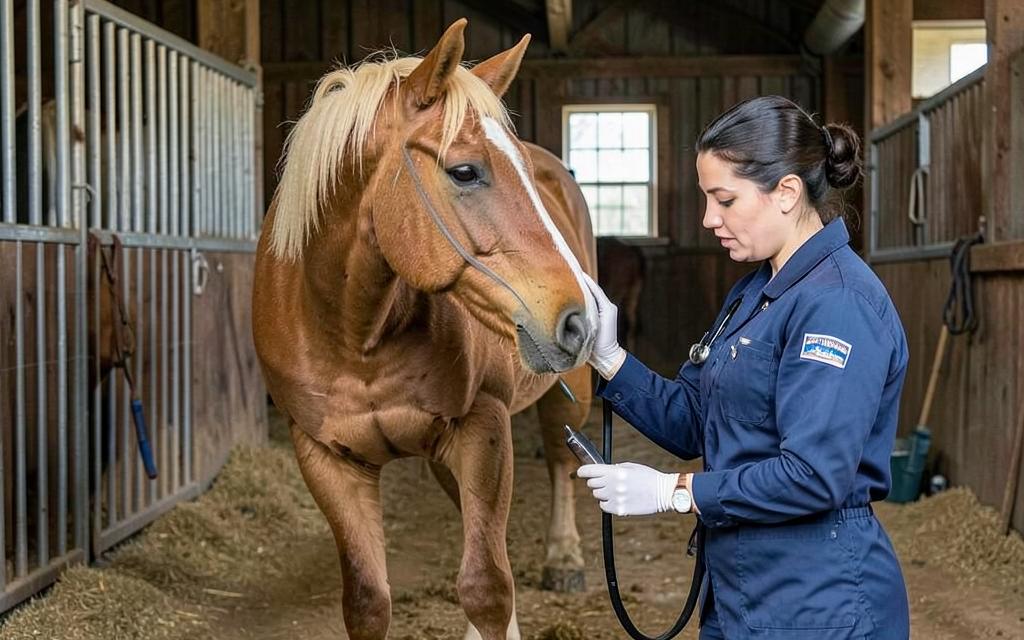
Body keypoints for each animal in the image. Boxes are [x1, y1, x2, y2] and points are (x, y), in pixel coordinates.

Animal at [252, 19, 599, 640]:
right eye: (464, 171)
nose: (580, 317)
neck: (356, 335)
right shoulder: (325, 457)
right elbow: (368, 603)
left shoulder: (482, 426)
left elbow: (487, 588)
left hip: (568, 394)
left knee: (561, 464)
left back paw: (564, 558)